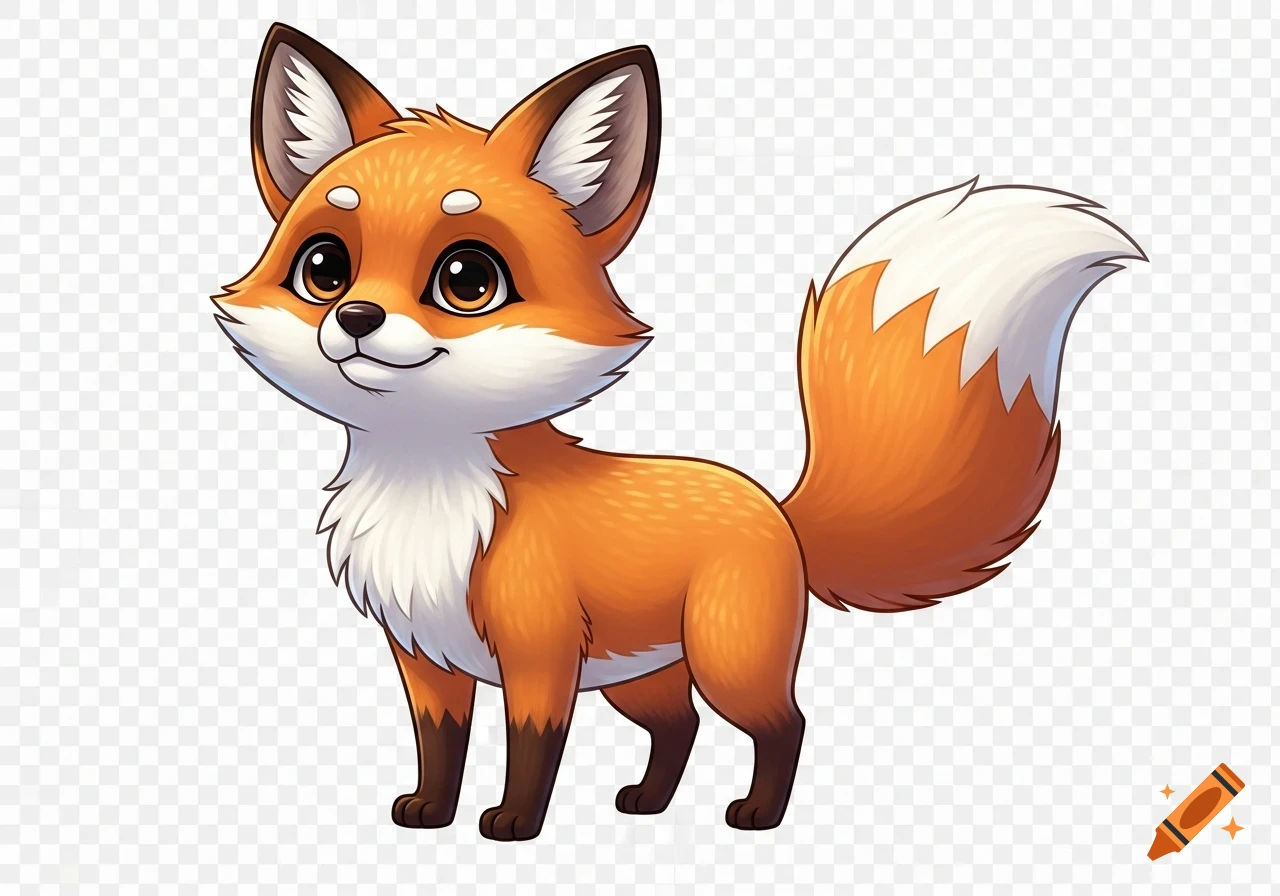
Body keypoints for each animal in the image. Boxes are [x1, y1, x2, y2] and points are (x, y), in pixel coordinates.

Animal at [216, 23, 1145, 841]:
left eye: (467, 280)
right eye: (325, 267)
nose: (356, 319)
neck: (430, 496)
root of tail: (776, 508)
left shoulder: (540, 655)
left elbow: (531, 750)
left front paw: (513, 826)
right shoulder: (426, 657)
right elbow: (440, 748)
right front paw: (428, 814)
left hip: (728, 662)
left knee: (784, 725)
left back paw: (758, 815)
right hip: (644, 676)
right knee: (681, 729)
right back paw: (648, 804)